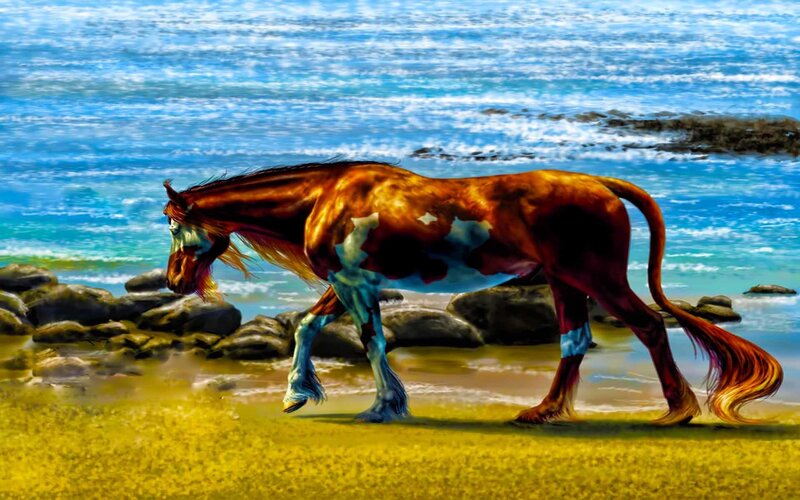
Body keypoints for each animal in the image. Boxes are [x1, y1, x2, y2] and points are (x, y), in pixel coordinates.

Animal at [162, 160, 782, 424]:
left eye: (173, 226)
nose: (173, 281)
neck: (326, 196)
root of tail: (601, 185)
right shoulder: (350, 282)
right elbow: (312, 328)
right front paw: (297, 393)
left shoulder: (353, 282)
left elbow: (371, 343)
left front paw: (385, 405)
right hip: (564, 280)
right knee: (574, 341)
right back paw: (543, 411)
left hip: (594, 276)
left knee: (649, 327)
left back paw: (676, 412)